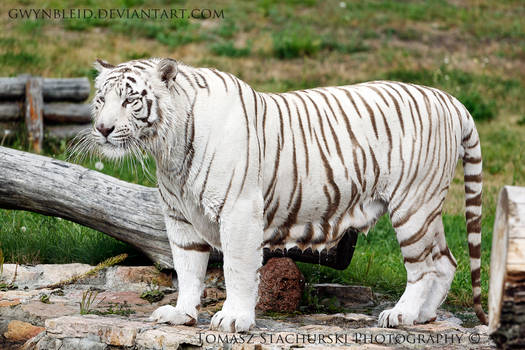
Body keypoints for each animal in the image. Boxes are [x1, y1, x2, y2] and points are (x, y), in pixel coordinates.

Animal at [84, 57, 486, 330]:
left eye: (131, 100)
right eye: (101, 100)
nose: (102, 129)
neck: (169, 150)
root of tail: (450, 99)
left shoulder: (239, 212)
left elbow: (237, 268)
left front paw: (234, 319)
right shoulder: (179, 218)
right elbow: (188, 268)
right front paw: (182, 314)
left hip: (412, 205)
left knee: (423, 266)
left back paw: (402, 313)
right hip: (427, 207)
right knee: (446, 260)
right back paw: (424, 315)